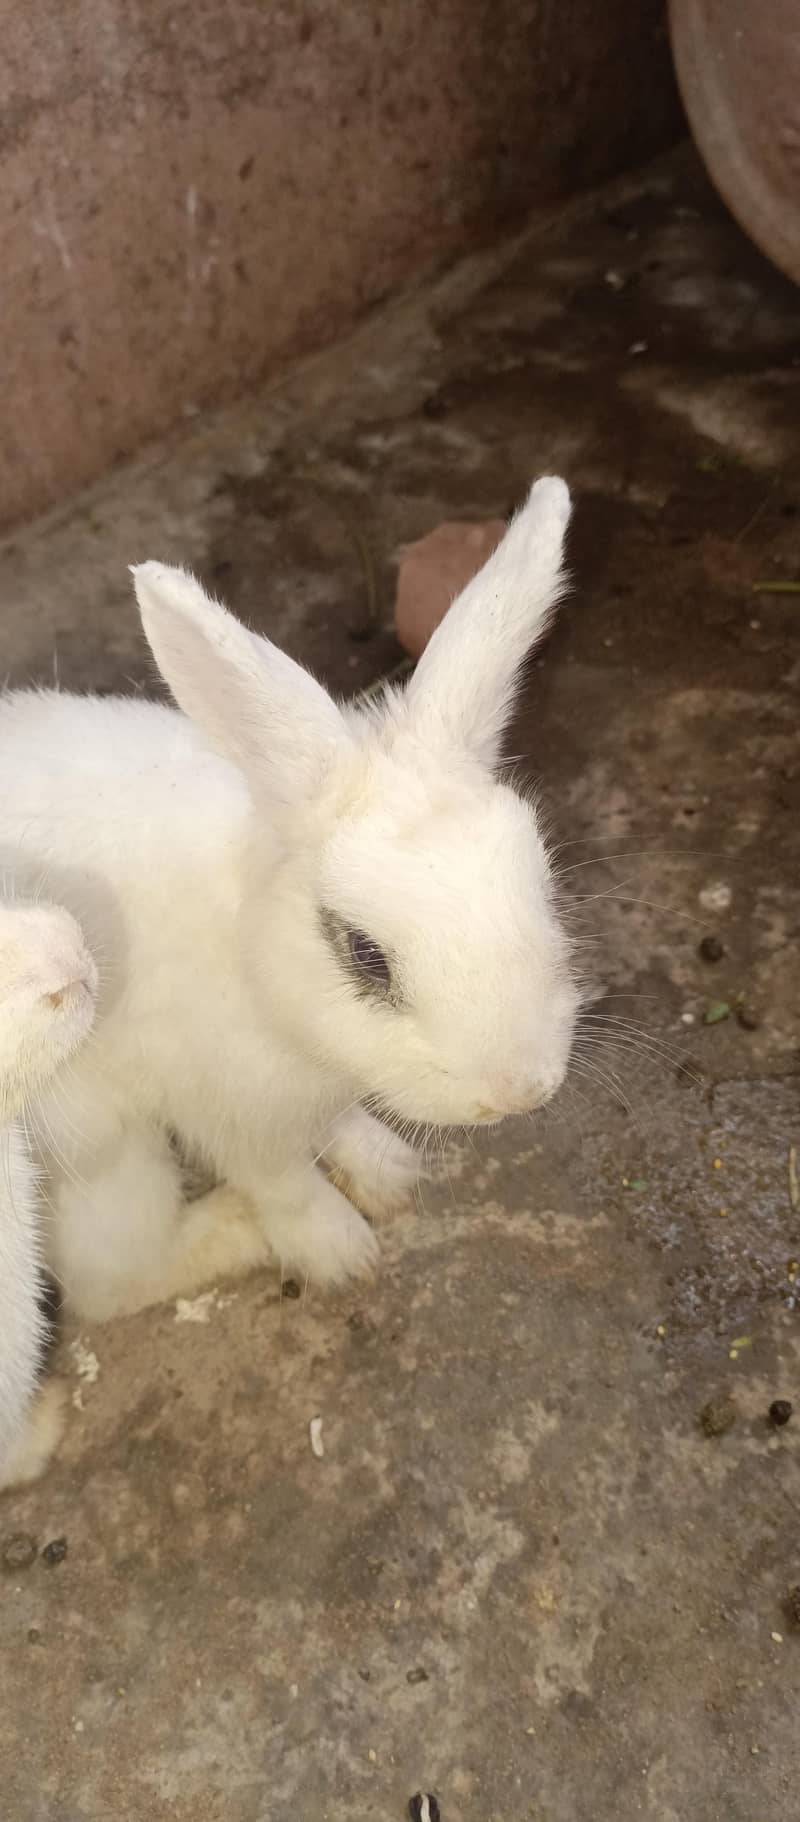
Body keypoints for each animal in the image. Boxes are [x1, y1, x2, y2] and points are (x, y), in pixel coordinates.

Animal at [0, 475, 578, 1325]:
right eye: (365, 954)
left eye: (542, 878)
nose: (520, 1089)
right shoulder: (231, 1112)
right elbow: (283, 1183)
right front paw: (342, 1250)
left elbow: (341, 1126)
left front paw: (389, 1173)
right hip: (98, 1146)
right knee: (110, 1280)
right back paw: (236, 1232)